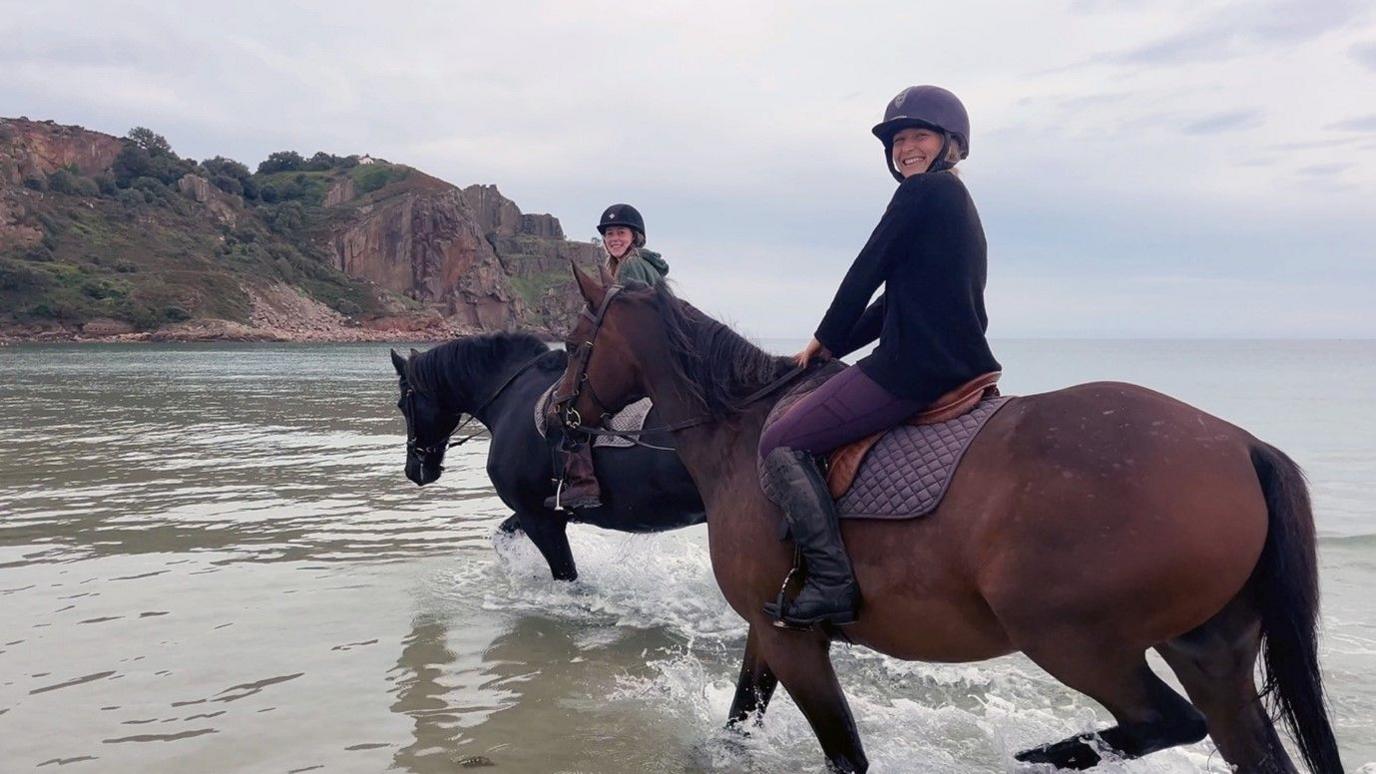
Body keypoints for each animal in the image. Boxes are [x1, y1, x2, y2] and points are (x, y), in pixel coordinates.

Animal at [393, 331, 704, 578]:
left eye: (402, 405)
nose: (413, 469)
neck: (511, 396)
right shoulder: (540, 510)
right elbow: (502, 537)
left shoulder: (537, 517)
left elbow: (566, 575)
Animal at [547, 267, 1342, 771]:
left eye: (575, 342)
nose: (556, 414)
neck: (742, 433)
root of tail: (1240, 445)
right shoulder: (769, 628)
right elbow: (742, 714)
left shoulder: (794, 640)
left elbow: (844, 753)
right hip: (1208, 654)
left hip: (1072, 639)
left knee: (1164, 722)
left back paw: (1054, 754)